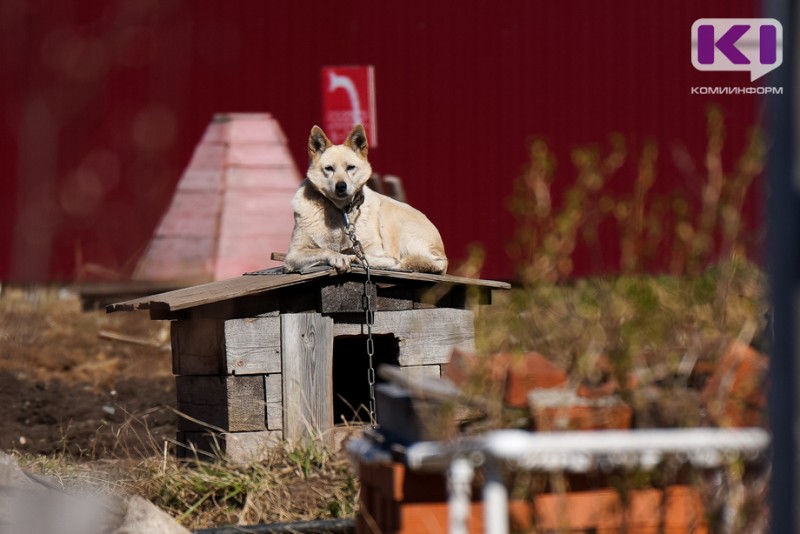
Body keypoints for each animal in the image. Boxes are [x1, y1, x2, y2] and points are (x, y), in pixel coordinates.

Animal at [282, 126, 446, 276]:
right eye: (329, 168)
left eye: (350, 167)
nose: (341, 186)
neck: (341, 211)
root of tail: (442, 254)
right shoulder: (293, 255)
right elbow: (323, 250)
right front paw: (338, 256)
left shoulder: (374, 247)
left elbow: (362, 252)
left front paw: (350, 254)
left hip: (387, 213)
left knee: (395, 258)